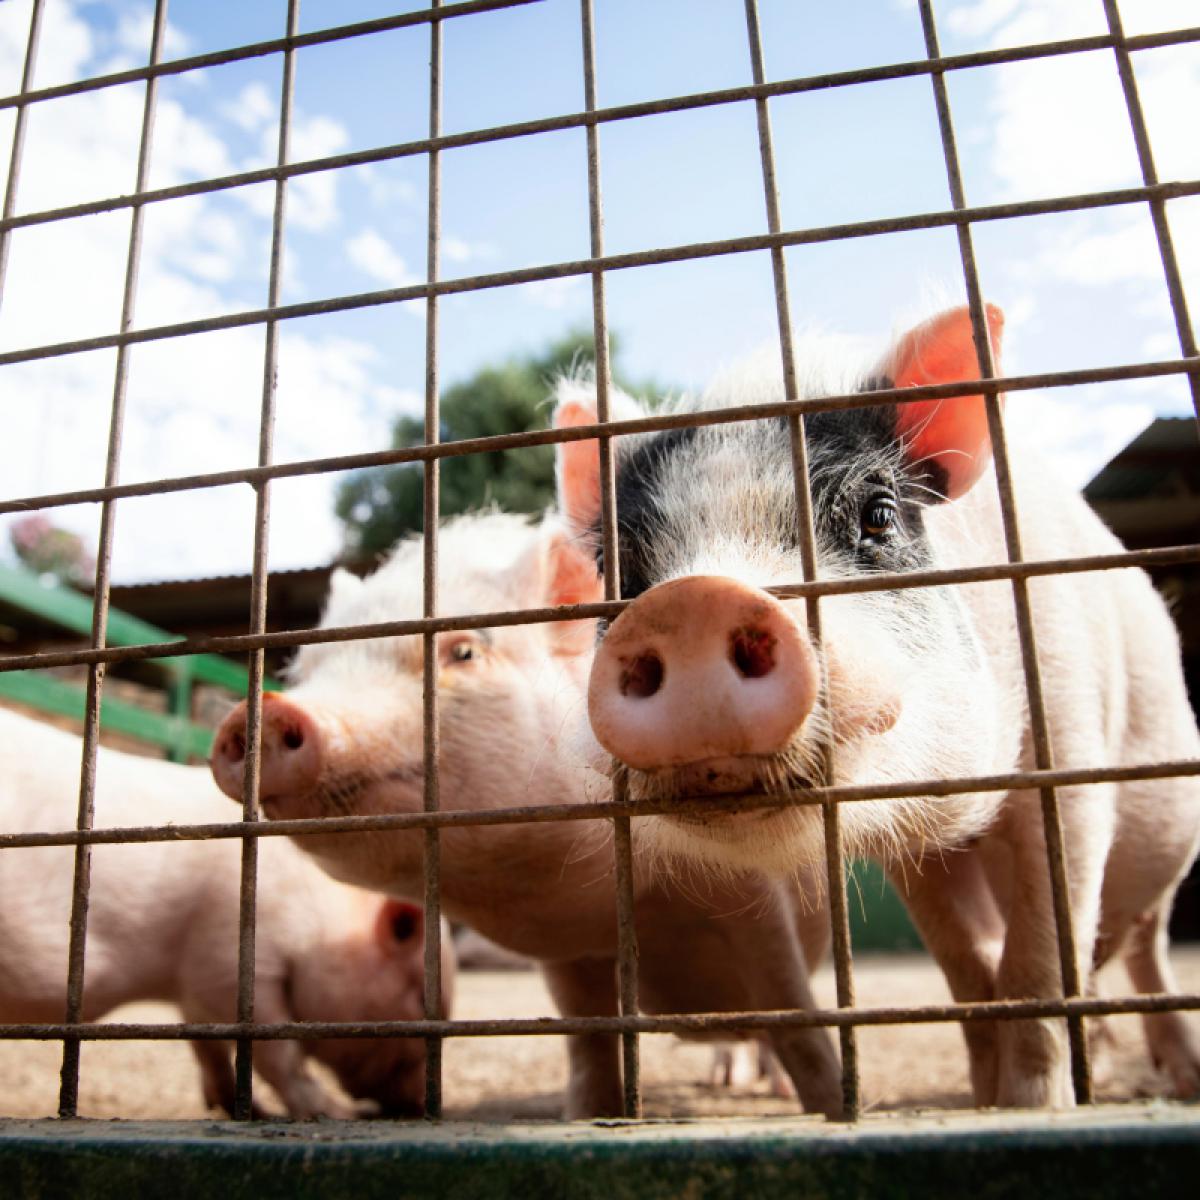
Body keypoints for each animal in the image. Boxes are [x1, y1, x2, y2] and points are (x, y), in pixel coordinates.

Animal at [0, 705, 451, 1118]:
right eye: (417, 996)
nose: (421, 1103)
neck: (320, 920)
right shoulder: (226, 958)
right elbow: (277, 1051)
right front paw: (334, 1115)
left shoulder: (194, 986)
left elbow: (206, 1042)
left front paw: (235, 1107)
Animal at [208, 511, 844, 1118]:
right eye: (305, 672)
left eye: (464, 651)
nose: (266, 711)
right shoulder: (571, 958)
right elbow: (588, 1042)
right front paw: (587, 1115)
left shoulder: (756, 898)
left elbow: (795, 1014)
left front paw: (830, 1108)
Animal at [556, 304, 1200, 1108]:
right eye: (620, 570)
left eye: (880, 516)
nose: (693, 601)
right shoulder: (918, 847)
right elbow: (967, 963)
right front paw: (984, 1098)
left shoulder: (1070, 748)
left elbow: (1041, 957)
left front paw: (1028, 1107)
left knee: (1145, 945)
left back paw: (1172, 1077)